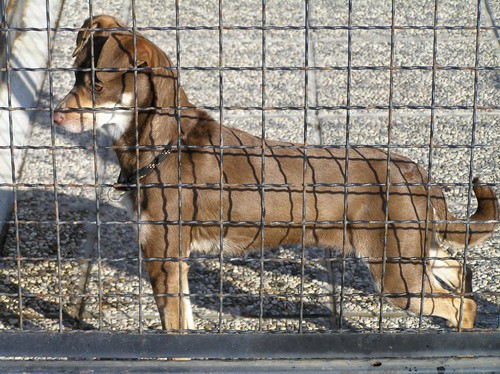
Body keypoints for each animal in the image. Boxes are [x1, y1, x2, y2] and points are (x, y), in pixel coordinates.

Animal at [52, 15, 498, 330]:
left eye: (96, 84)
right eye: (75, 76)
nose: (55, 114)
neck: (165, 143)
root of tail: (419, 174)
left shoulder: (162, 254)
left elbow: (174, 327)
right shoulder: (172, 260)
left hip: (397, 274)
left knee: (460, 303)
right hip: (418, 250)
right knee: (463, 277)